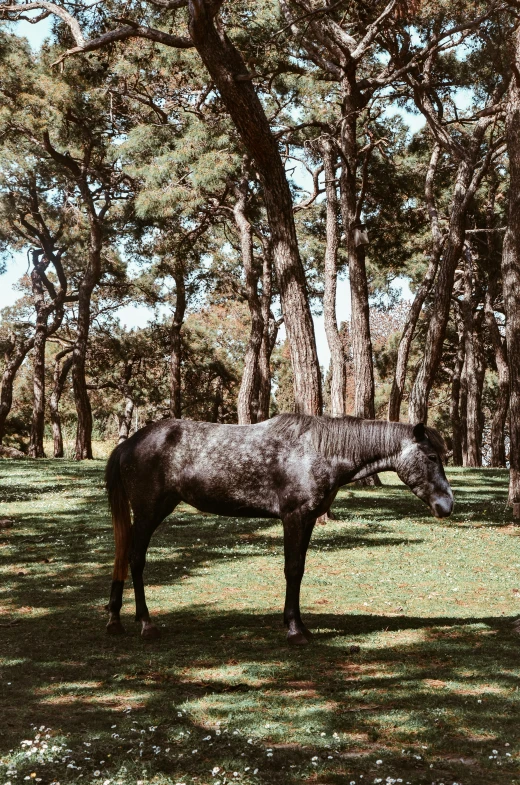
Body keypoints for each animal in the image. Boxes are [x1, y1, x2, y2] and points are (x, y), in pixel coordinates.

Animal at [104, 414, 450, 648]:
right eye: (431, 456)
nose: (447, 505)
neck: (316, 450)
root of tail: (129, 444)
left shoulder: (308, 519)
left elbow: (300, 569)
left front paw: (299, 625)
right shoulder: (293, 517)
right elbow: (292, 569)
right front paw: (294, 630)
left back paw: (115, 619)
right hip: (149, 512)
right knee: (135, 559)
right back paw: (146, 623)